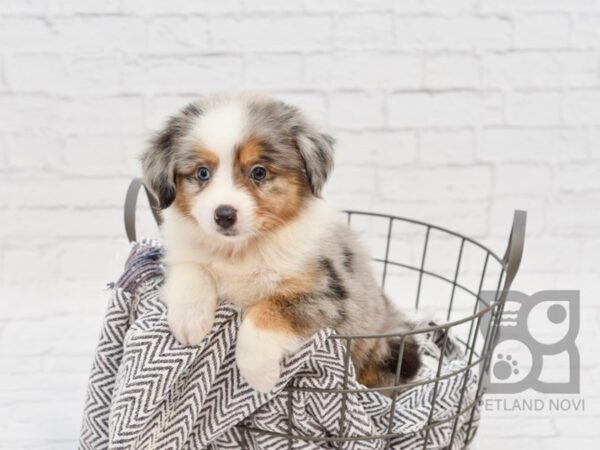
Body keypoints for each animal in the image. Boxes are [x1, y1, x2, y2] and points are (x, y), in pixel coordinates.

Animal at [142, 93, 420, 392]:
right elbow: (191, 269)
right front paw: (190, 322)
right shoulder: (183, 253)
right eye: (203, 173)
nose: (224, 215)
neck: (241, 249)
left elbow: (267, 311)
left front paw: (259, 375)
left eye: (259, 172)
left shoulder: (332, 296)